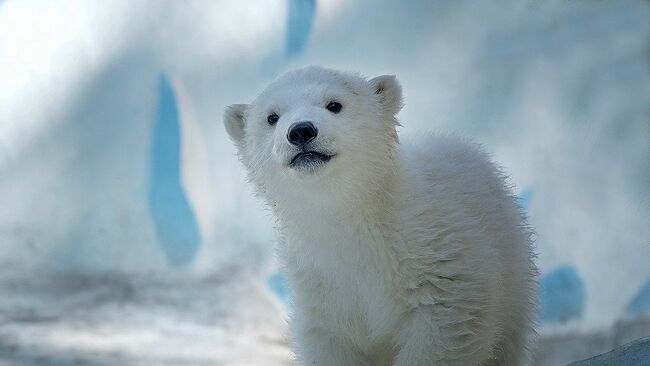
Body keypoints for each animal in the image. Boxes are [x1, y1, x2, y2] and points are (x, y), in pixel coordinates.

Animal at [223, 66, 536, 366]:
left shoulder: (439, 267)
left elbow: (442, 334)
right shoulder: (324, 285)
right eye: (272, 117)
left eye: (334, 104)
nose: (301, 131)